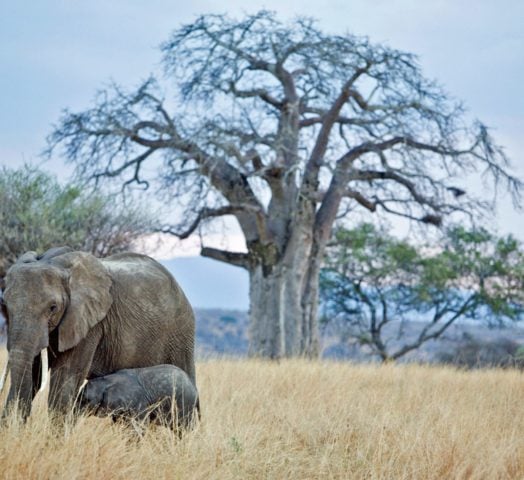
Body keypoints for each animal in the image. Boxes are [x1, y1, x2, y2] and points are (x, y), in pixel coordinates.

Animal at [0, 248, 196, 420]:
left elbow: (65, 378)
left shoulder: (89, 324)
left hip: (180, 334)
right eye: (5, 305)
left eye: (53, 308)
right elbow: (34, 372)